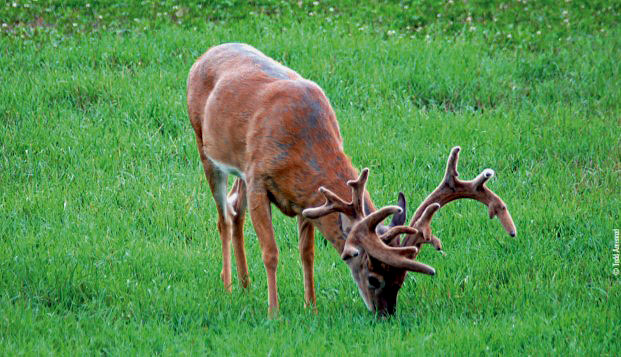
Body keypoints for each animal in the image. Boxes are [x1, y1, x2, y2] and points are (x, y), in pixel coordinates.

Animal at [186, 42, 516, 318]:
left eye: (402, 279)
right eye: (374, 278)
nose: (385, 315)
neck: (303, 144)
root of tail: (203, 56)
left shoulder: (305, 199)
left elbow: (307, 254)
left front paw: (311, 307)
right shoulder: (258, 179)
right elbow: (271, 253)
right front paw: (274, 313)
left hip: (238, 169)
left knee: (235, 209)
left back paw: (244, 284)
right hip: (205, 147)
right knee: (223, 217)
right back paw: (229, 286)